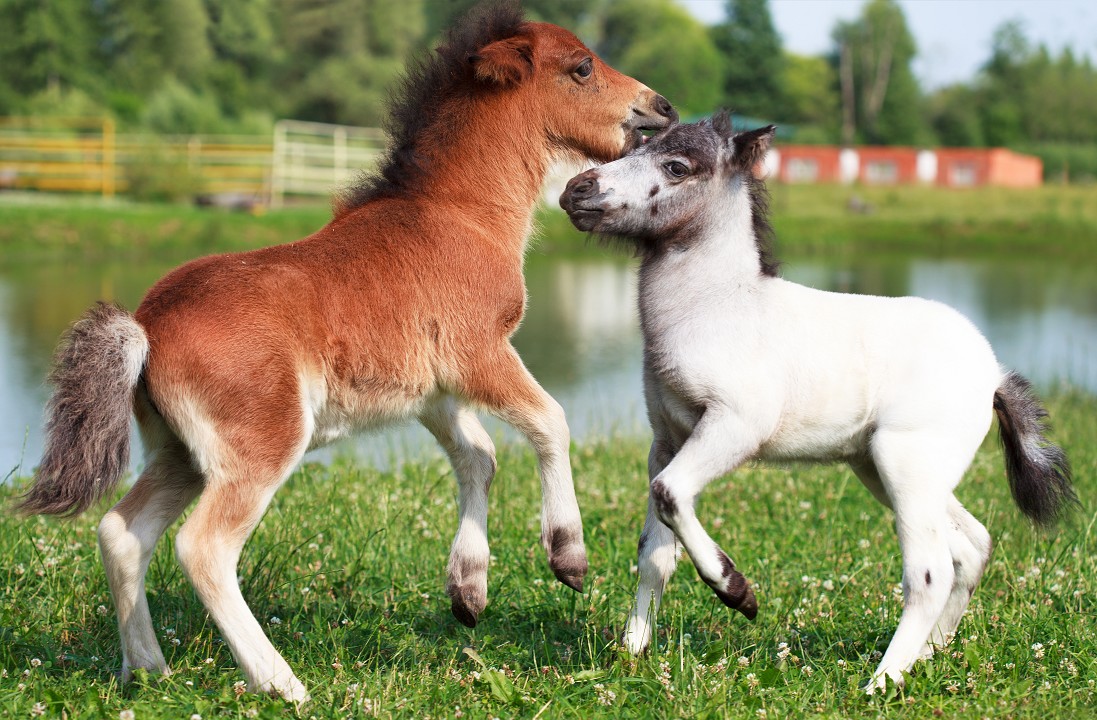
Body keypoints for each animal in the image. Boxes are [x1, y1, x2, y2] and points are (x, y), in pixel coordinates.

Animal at [16, 4, 676, 703]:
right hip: (262, 444)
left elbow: (479, 457)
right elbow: (550, 421)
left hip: (182, 452)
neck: (461, 214)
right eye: (581, 68)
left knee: (122, 532)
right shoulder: (479, 351)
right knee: (203, 547)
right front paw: (567, 556)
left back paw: (149, 671)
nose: (660, 107)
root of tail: (143, 326)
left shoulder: (432, 390)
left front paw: (467, 591)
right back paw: (282, 684)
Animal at [559, 113, 1075, 691]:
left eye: (676, 167)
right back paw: (929, 655)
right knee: (973, 545)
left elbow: (671, 495)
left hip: (907, 464)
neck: (715, 308)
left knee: (931, 571)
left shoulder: (736, 425)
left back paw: (882, 683)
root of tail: (993, 376)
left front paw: (736, 591)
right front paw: (631, 655)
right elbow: (653, 553)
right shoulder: (666, 440)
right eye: (636, 146)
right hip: (885, 469)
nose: (576, 190)